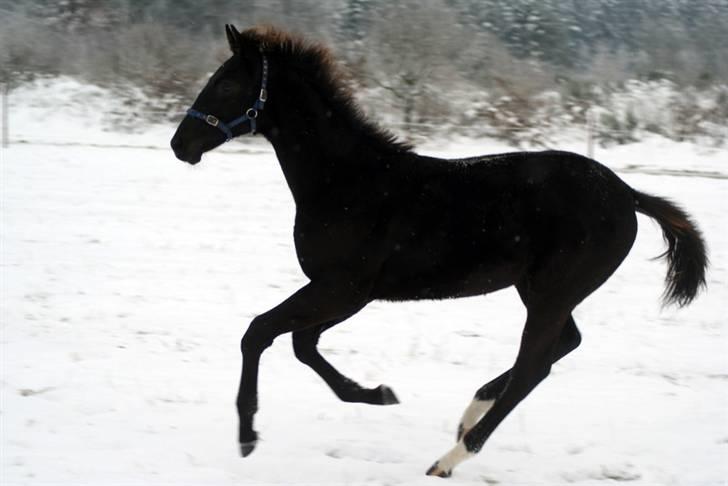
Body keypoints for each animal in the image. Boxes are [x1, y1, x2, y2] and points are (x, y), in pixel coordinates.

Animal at [171, 24, 704, 476]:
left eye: (225, 85)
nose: (181, 144)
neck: (349, 182)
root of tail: (628, 194)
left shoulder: (342, 288)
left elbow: (259, 333)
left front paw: (247, 435)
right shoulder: (350, 293)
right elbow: (303, 344)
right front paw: (379, 393)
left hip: (552, 292)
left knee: (534, 366)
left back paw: (451, 457)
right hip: (539, 291)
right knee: (560, 347)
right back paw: (470, 414)